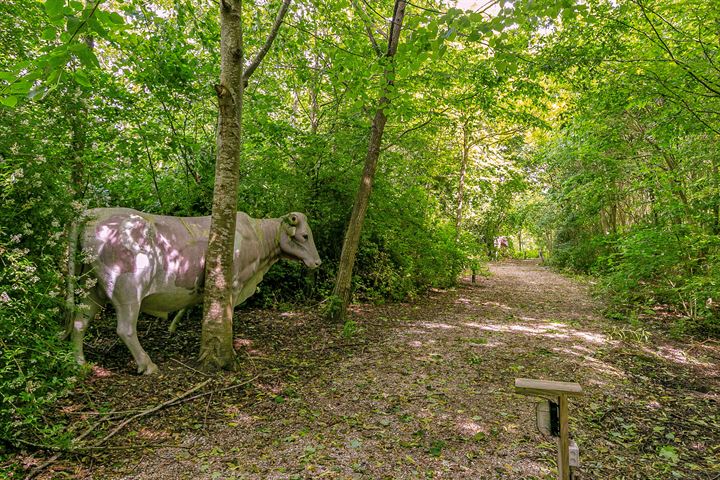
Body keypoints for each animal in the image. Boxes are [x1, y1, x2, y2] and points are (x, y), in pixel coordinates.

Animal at [65, 208, 320, 374]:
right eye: (305, 235)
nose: (317, 263)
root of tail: (94, 212)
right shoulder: (234, 284)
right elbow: (225, 317)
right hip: (128, 289)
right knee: (125, 329)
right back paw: (148, 365)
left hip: (93, 287)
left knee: (80, 320)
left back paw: (79, 362)